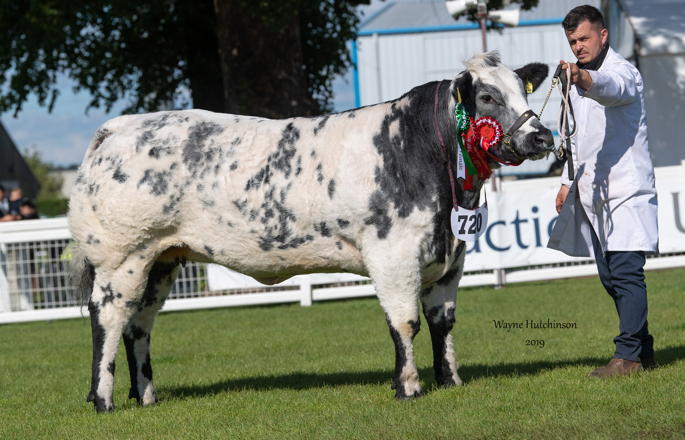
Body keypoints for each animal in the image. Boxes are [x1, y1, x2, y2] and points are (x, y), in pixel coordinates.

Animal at [68, 52, 552, 412]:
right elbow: (405, 322)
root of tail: (121, 126)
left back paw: (146, 396)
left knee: (139, 324)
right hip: (122, 255)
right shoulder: (393, 254)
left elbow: (442, 322)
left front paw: (450, 381)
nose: (542, 137)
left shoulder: (451, 258)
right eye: (487, 96)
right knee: (108, 318)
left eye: (523, 89)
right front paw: (408, 386)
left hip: (161, 259)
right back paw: (104, 399)